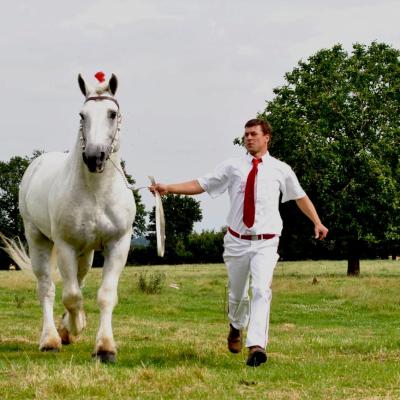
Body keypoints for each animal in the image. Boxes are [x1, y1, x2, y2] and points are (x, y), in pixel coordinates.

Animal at [1, 73, 136, 364]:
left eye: (112, 114)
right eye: (82, 115)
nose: (94, 156)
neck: (96, 191)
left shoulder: (118, 244)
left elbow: (105, 295)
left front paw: (105, 348)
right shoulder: (65, 246)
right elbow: (71, 296)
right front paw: (74, 327)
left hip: (86, 253)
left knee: (80, 280)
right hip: (38, 239)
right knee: (48, 288)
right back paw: (52, 338)